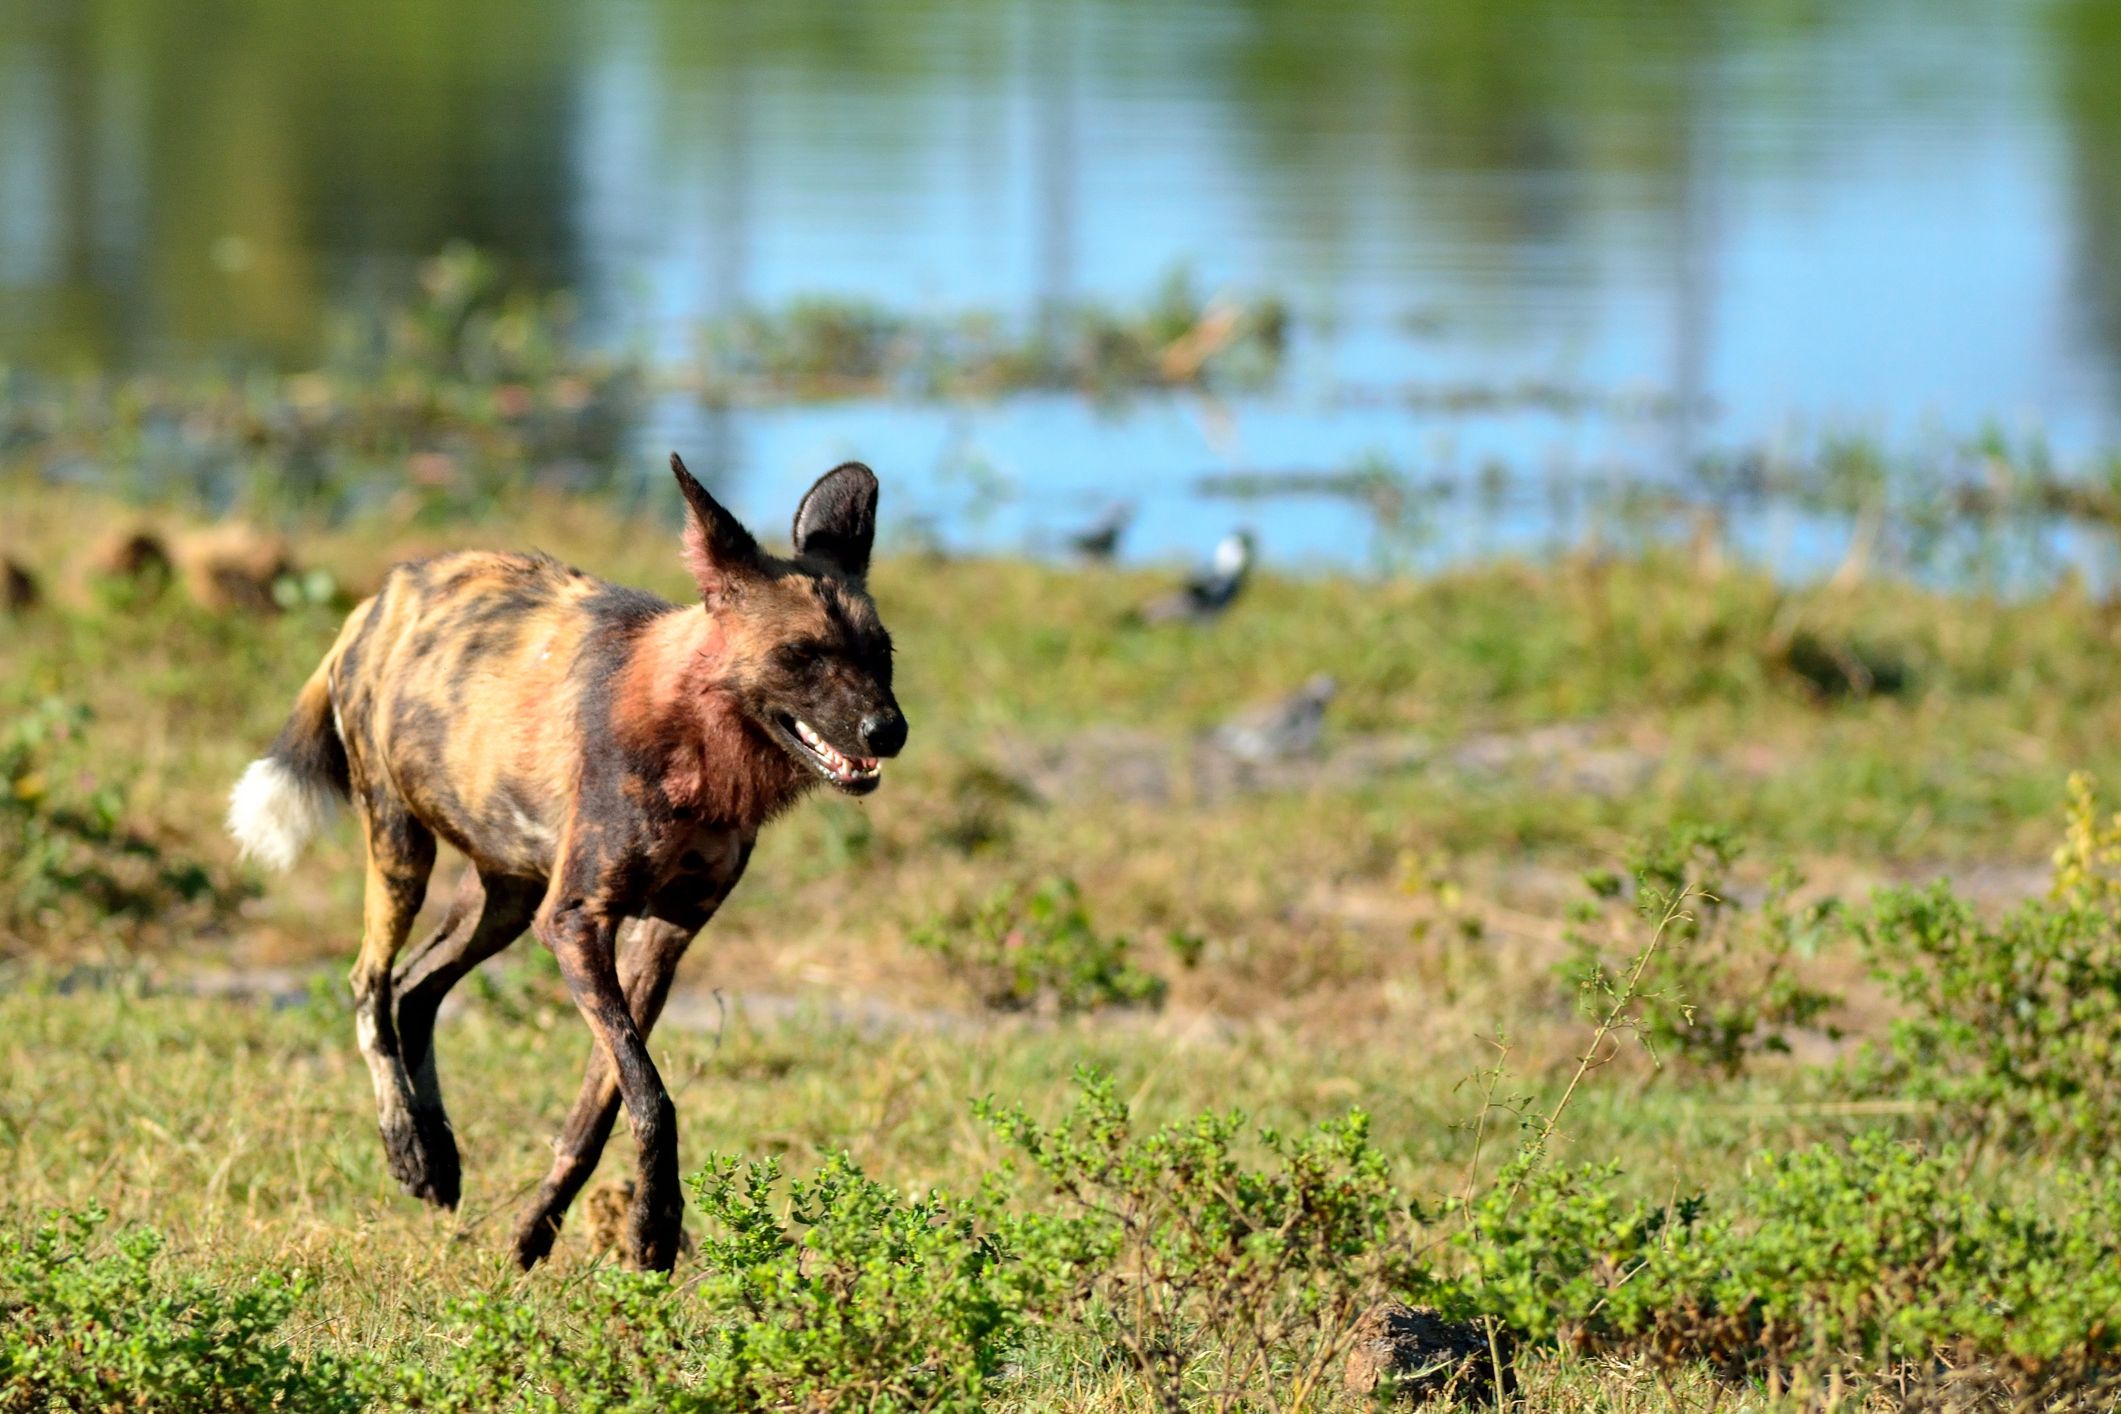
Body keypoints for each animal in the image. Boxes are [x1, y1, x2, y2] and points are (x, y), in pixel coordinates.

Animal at [225, 462, 903, 1271]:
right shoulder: (579, 924)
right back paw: (408, 1147)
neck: (693, 743)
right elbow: (651, 1097)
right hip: (403, 851)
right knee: (370, 982)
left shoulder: (661, 937)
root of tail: (379, 598)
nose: (888, 731)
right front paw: (652, 1228)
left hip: (505, 900)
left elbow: (602, 1108)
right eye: (801, 655)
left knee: (416, 990)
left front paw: (539, 1236)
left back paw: (442, 1156)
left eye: (883, 655)